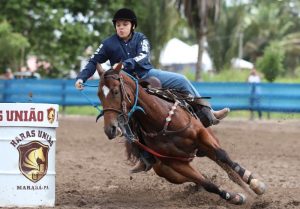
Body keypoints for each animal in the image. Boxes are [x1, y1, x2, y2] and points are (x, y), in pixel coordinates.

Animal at [95, 62, 264, 205]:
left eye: (115, 91)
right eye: (99, 95)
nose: (110, 129)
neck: (160, 120)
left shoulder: (202, 135)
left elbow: (224, 156)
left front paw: (256, 183)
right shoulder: (175, 163)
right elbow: (208, 184)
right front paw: (235, 197)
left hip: (207, 144)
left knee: (226, 166)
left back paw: (251, 188)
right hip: (168, 171)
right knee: (198, 179)